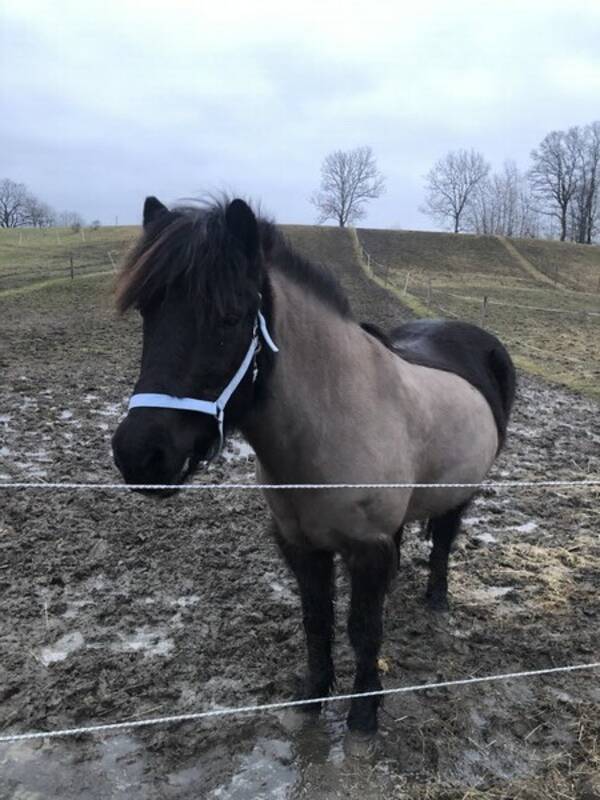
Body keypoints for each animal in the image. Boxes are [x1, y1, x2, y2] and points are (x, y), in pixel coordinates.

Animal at [111, 197, 516, 740]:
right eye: (146, 312)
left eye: (229, 317)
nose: (138, 455)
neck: (330, 424)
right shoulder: (300, 546)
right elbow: (317, 620)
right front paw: (312, 697)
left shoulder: (366, 549)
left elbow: (363, 631)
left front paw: (363, 714)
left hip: (460, 491)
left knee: (445, 538)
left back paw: (436, 599)